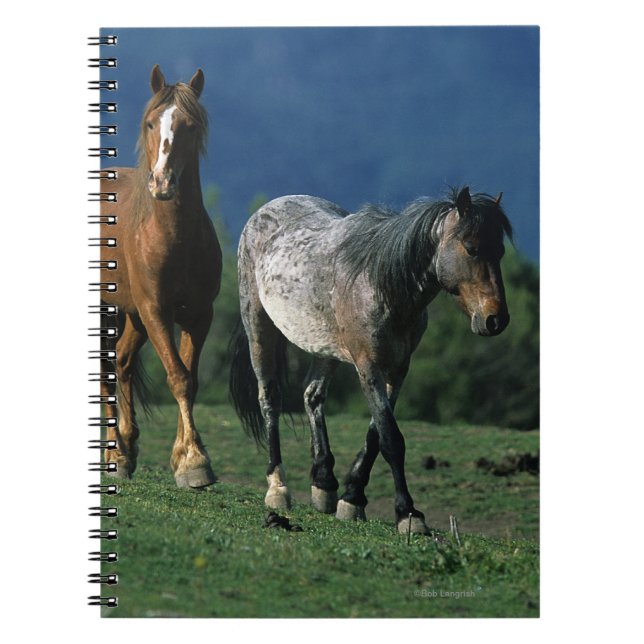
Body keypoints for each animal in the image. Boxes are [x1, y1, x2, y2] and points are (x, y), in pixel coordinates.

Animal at [100, 65, 222, 488]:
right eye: (152, 123)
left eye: (190, 126)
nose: (163, 182)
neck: (174, 237)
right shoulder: (156, 311)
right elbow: (178, 376)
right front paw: (195, 461)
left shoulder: (198, 315)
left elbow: (191, 379)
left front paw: (187, 458)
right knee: (105, 371)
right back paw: (115, 452)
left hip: (132, 314)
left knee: (120, 362)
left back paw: (125, 449)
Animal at [230, 187, 511, 533]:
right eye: (471, 248)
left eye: (500, 251)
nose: (496, 319)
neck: (379, 282)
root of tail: (266, 209)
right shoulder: (369, 366)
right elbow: (391, 439)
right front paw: (408, 513)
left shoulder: (398, 369)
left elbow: (375, 436)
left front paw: (351, 499)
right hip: (258, 326)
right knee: (269, 398)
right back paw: (278, 489)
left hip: (325, 347)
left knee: (312, 395)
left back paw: (323, 483)